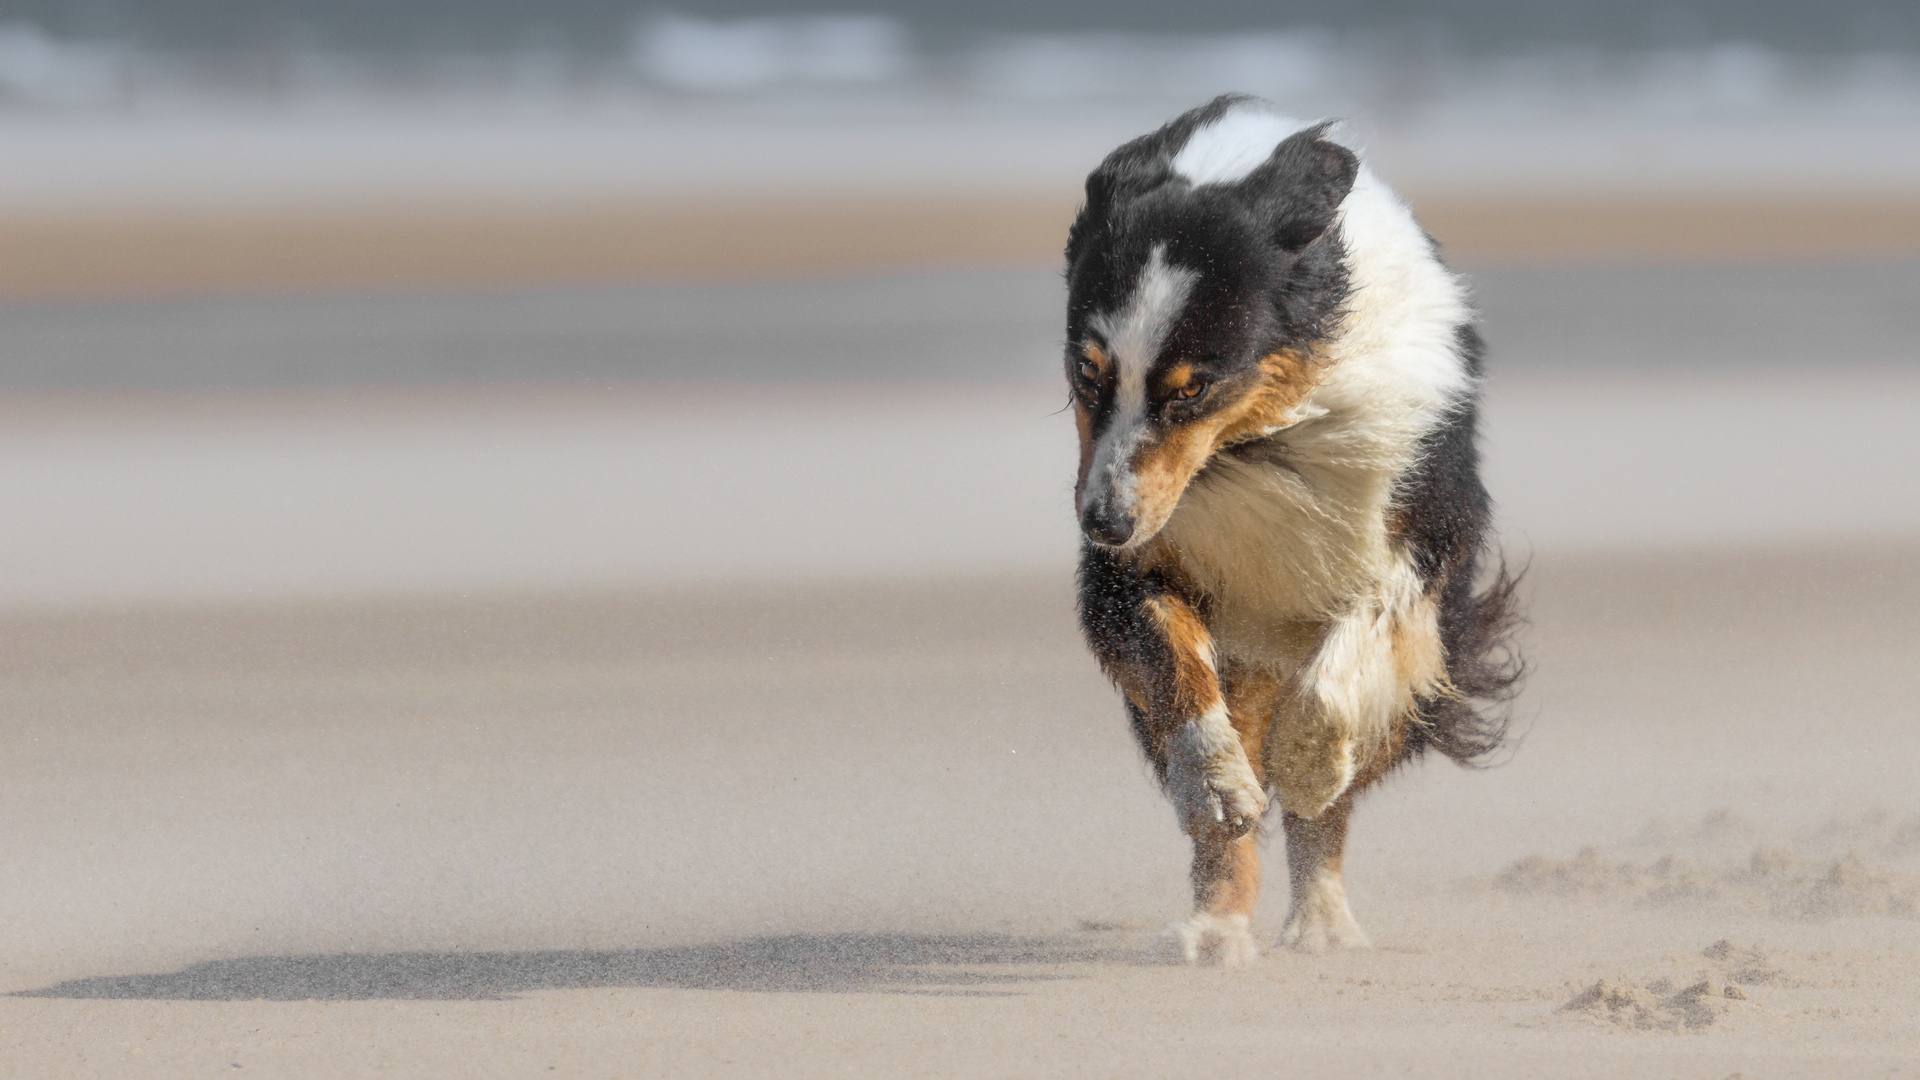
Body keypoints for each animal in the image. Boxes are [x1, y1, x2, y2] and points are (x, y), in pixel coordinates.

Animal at [1059, 96, 1520, 960]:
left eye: (1190, 388)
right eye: (1087, 371)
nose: (1103, 521)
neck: (1255, 440)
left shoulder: (1429, 530)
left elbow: (1348, 661)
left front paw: (1304, 765)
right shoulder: (1132, 566)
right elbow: (1173, 667)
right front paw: (1218, 786)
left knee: (1332, 805)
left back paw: (1323, 925)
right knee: (1230, 820)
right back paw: (1214, 931)